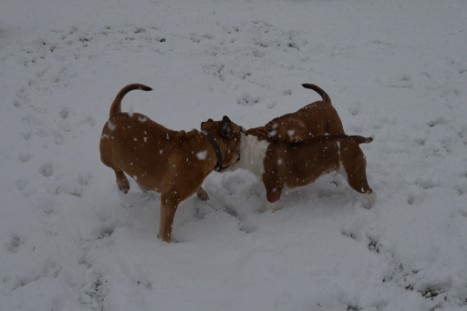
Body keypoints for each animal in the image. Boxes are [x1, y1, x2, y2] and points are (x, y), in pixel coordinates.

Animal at [100, 84, 243, 243]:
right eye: (240, 131)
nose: (244, 129)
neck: (209, 145)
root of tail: (115, 115)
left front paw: (202, 193)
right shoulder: (170, 199)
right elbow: (167, 227)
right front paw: (167, 243)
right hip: (107, 156)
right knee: (116, 169)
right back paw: (123, 183)